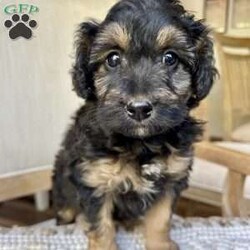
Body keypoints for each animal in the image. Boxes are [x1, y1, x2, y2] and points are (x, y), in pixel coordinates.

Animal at [53, 0, 217, 249]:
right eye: (113, 59)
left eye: (170, 58)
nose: (139, 108)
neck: (142, 143)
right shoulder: (95, 178)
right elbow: (101, 226)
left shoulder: (171, 178)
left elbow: (160, 219)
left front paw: (160, 244)